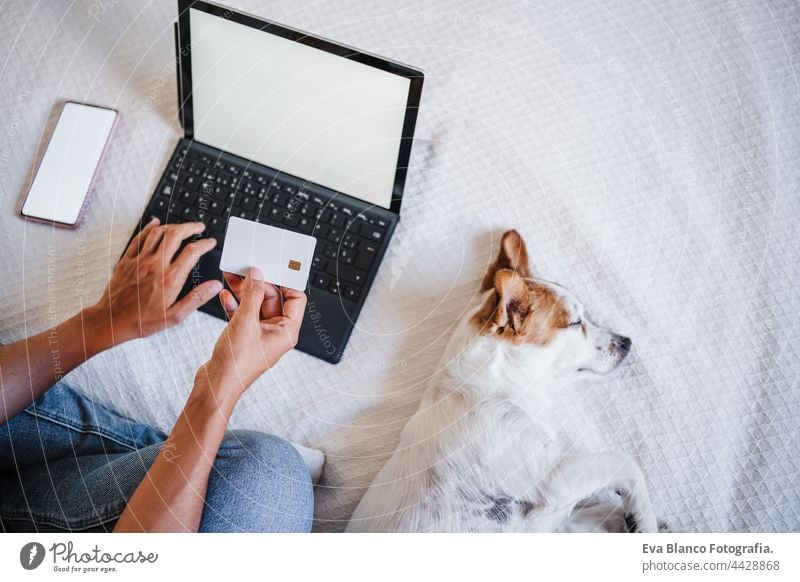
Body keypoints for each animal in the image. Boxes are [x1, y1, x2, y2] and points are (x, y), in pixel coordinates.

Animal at [346, 232, 660, 532]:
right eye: (574, 323)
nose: (626, 342)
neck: (495, 389)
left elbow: (598, 512)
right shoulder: (553, 478)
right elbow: (624, 462)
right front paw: (645, 520)